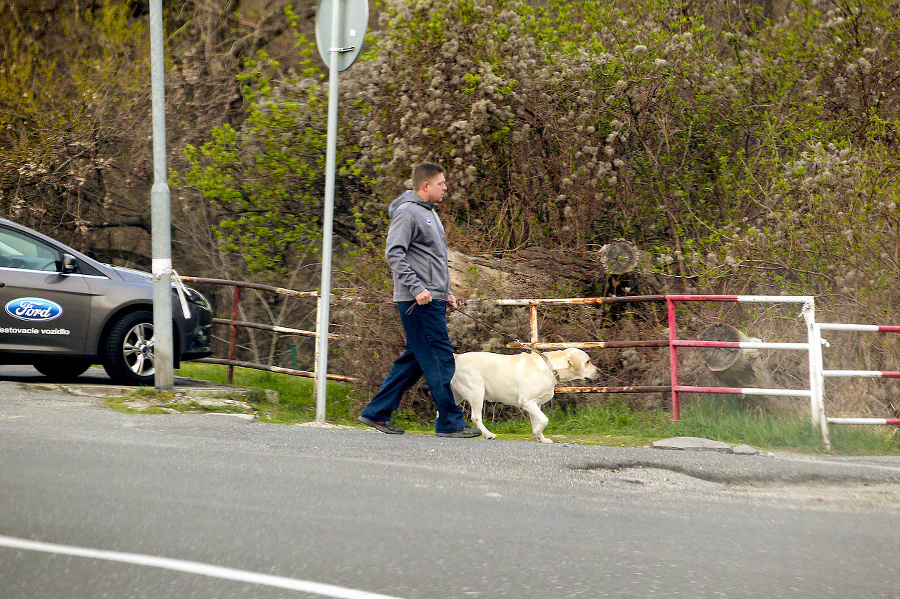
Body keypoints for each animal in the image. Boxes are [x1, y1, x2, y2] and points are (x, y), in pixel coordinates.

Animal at [450, 350, 596, 442]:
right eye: (587, 361)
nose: (599, 371)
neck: (550, 368)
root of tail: (457, 357)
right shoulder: (527, 402)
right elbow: (544, 420)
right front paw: (536, 433)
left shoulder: (536, 405)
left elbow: (537, 421)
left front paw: (541, 438)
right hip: (477, 391)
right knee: (475, 418)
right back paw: (488, 434)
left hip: (457, 395)